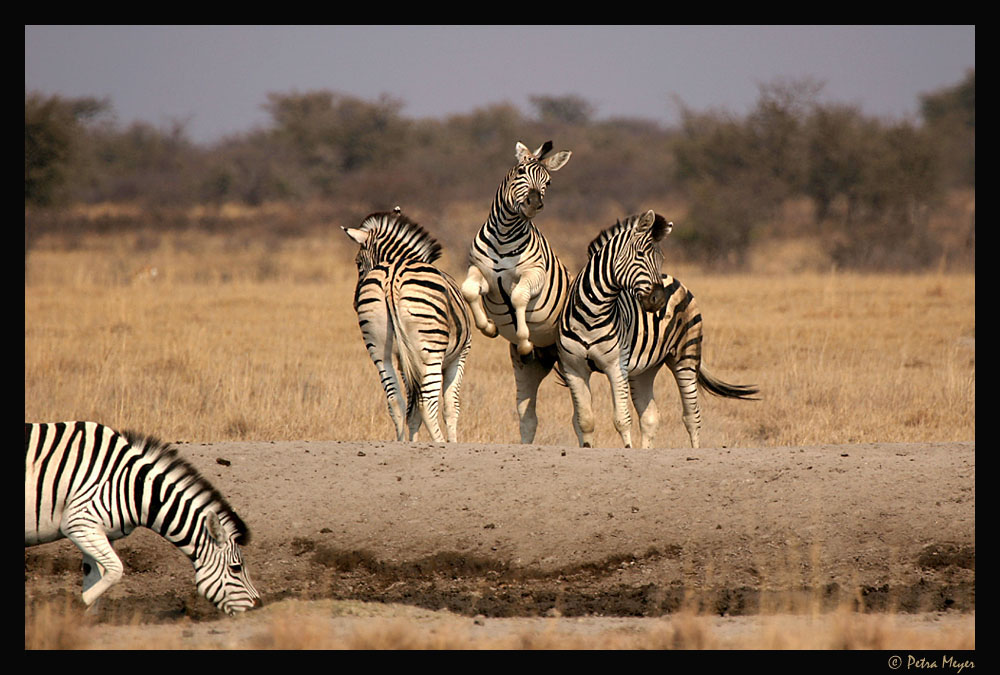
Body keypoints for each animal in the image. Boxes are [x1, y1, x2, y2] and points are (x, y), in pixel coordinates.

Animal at [26, 422, 262, 616]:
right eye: (236, 568)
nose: (258, 605)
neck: (133, 487)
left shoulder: (96, 532)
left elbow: (97, 575)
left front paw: (85, 620)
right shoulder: (79, 523)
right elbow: (116, 570)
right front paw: (77, 605)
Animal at [344, 209, 472, 446]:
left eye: (357, 262)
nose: (355, 303)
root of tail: (392, 274)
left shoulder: (405, 362)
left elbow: (412, 410)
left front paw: (412, 441)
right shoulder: (460, 355)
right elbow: (451, 406)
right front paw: (453, 443)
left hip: (379, 349)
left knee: (395, 401)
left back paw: (401, 441)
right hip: (431, 351)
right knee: (427, 404)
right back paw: (439, 443)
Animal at [460, 139, 572, 444]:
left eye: (548, 182)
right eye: (521, 171)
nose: (535, 202)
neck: (503, 235)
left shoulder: (534, 274)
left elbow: (518, 297)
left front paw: (523, 339)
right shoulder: (480, 271)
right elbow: (468, 291)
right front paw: (488, 326)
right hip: (535, 366)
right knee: (529, 415)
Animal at [556, 210, 756, 454]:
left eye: (661, 259)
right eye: (640, 254)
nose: (658, 300)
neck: (592, 314)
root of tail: (673, 278)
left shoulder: (615, 366)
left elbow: (621, 418)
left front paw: (627, 449)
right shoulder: (573, 367)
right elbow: (585, 419)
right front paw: (587, 447)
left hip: (685, 357)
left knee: (692, 416)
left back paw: (695, 452)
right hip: (644, 369)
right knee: (650, 417)